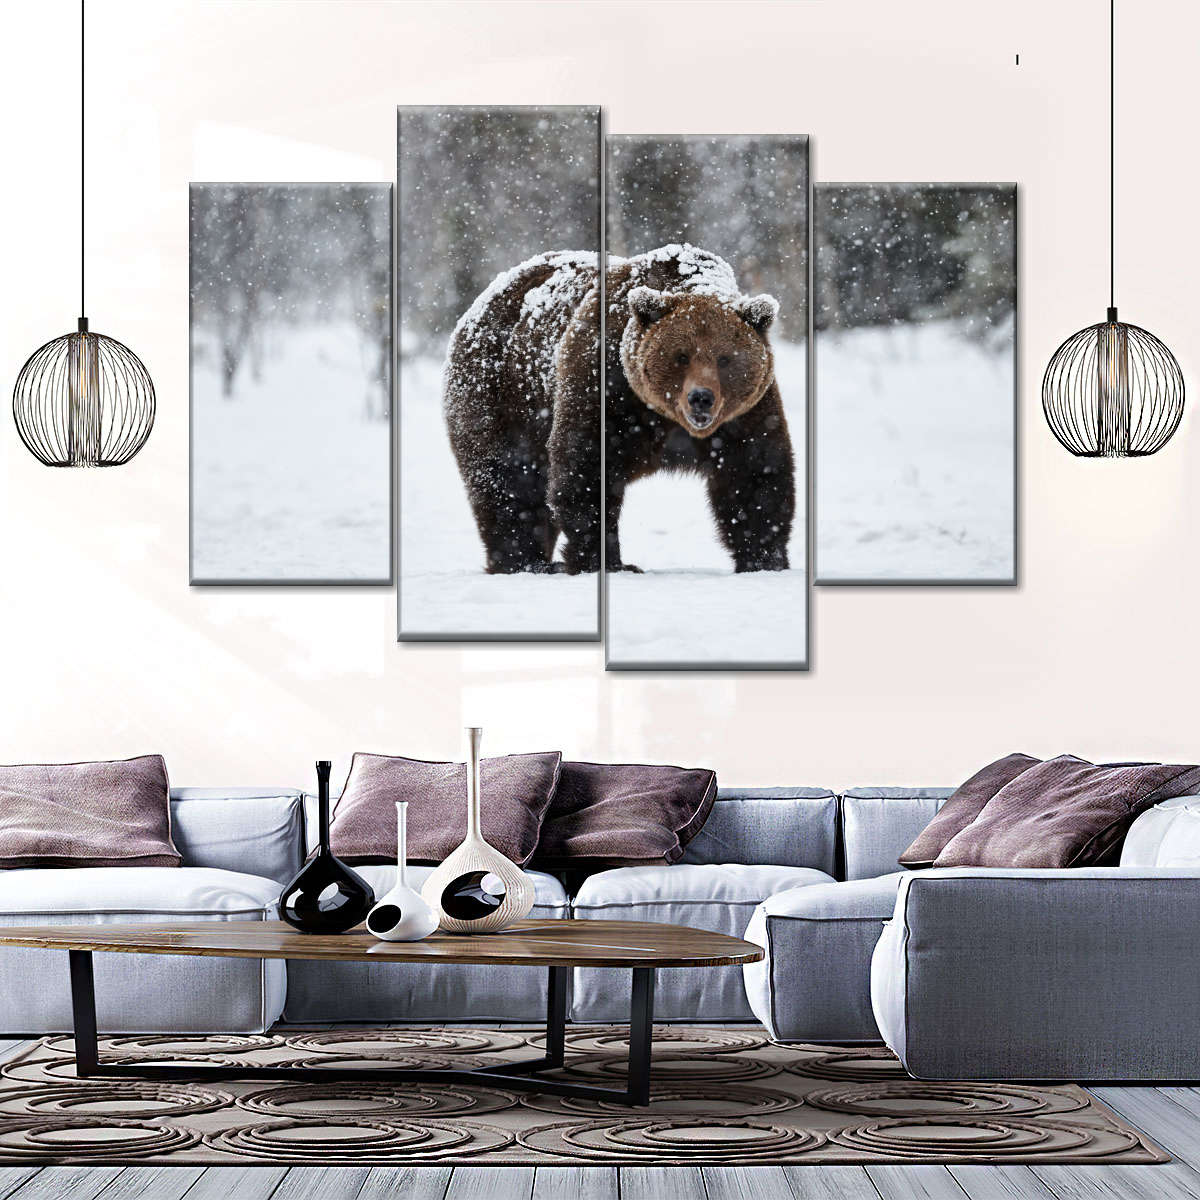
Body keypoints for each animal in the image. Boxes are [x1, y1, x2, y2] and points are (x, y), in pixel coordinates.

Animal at [442, 243, 795, 575]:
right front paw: (605, 561)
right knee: (509, 482)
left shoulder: (744, 415)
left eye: (725, 359)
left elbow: (755, 474)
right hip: (502, 395)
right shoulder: (604, 385)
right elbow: (585, 470)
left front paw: (765, 559)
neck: (665, 418)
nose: (701, 397)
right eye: (681, 356)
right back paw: (524, 562)